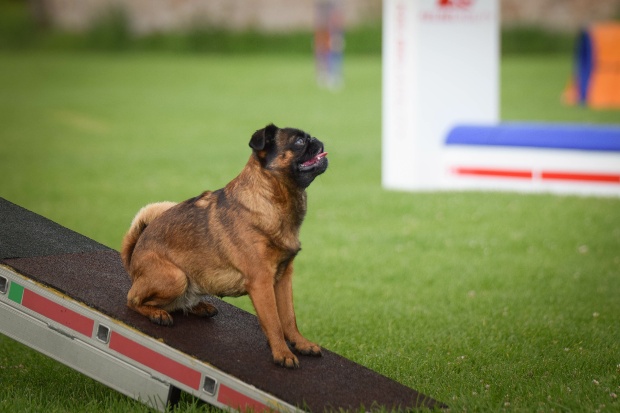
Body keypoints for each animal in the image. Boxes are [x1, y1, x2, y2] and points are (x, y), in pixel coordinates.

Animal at [118, 122, 326, 366]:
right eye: (300, 142)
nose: (317, 140)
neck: (270, 199)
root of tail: (132, 257)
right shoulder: (261, 281)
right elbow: (274, 322)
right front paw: (282, 353)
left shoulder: (283, 278)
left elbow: (289, 318)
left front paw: (300, 344)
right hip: (175, 277)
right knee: (133, 300)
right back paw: (156, 313)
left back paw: (198, 306)